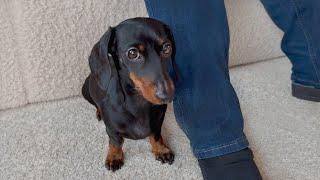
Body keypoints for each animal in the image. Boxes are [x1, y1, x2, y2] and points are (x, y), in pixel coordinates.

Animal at [82, 17, 176, 172]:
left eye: (167, 47)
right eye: (132, 53)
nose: (167, 95)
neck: (139, 102)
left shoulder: (158, 122)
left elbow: (156, 135)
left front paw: (161, 150)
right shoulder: (112, 130)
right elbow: (115, 142)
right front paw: (114, 157)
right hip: (85, 91)